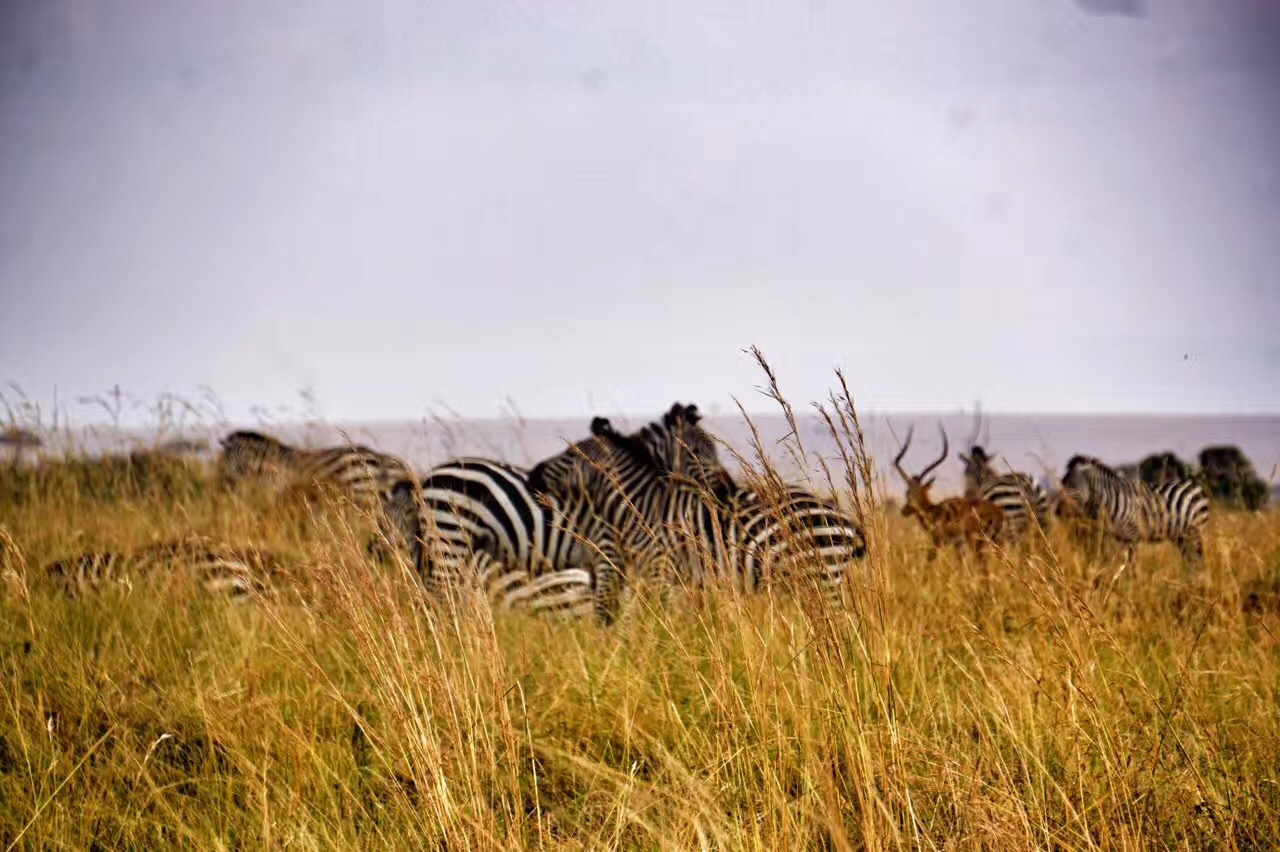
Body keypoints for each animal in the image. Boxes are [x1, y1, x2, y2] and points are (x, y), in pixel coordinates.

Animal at [376, 401, 732, 621]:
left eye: (713, 449)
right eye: (699, 452)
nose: (726, 492)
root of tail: (427, 479)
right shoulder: (607, 551)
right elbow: (609, 610)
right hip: (449, 539)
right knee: (441, 598)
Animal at [522, 411, 870, 611]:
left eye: (570, 454)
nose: (533, 475)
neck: (643, 504)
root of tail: (844, 519)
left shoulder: (660, 570)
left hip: (820, 577)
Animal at [1059, 450, 1208, 562]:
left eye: (1072, 483)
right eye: (1062, 483)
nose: (1059, 510)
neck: (1110, 500)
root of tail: (1193, 483)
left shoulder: (1131, 536)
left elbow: (1130, 565)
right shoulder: (1118, 537)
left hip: (1196, 531)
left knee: (1197, 559)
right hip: (1181, 536)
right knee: (1190, 559)